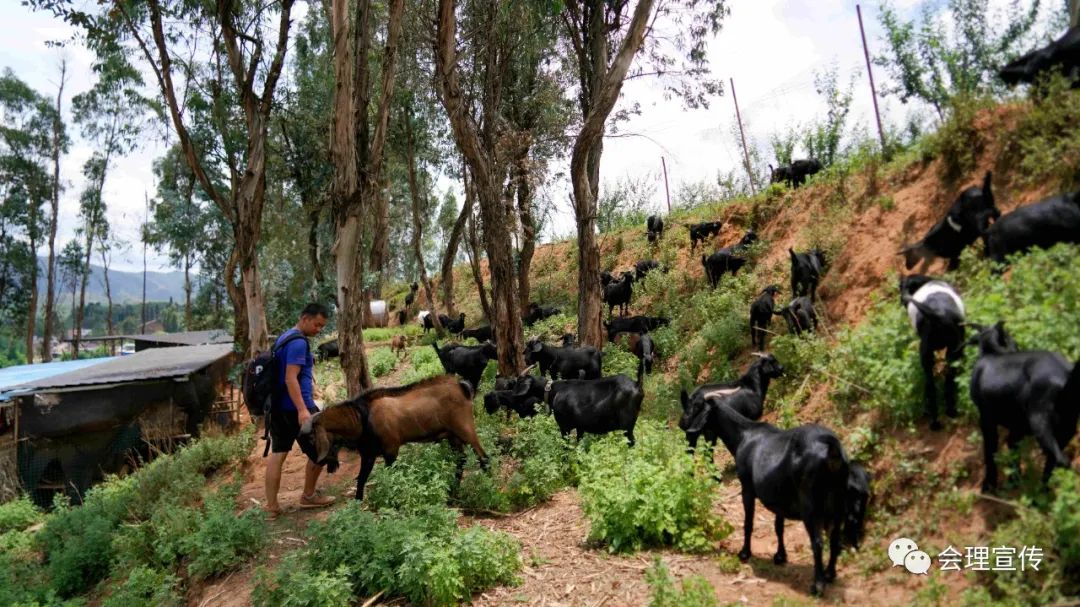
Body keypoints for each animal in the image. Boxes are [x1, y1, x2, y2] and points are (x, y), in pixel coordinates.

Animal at [298, 373, 488, 501]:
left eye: (311, 439)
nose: (319, 462)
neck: (362, 416)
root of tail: (461, 386)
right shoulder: (368, 454)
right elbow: (361, 479)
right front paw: (357, 506)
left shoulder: (391, 450)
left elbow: (391, 476)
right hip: (452, 436)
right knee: (461, 460)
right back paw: (453, 491)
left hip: (464, 427)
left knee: (483, 456)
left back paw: (487, 487)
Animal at [505, 373, 639, 444]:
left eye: (518, 383)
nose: (510, 396)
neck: (554, 391)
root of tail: (637, 385)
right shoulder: (580, 427)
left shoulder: (564, 426)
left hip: (627, 426)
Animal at [898, 274, 967, 429]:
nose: (902, 299)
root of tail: (938, 314)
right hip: (953, 352)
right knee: (949, 382)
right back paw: (951, 411)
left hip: (927, 356)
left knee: (931, 386)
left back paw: (934, 420)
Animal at [972, 321, 1080, 492]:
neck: (992, 352)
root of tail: (1066, 375)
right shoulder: (1017, 426)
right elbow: (1012, 448)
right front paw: (1013, 479)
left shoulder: (986, 418)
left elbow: (990, 451)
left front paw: (989, 485)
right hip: (1066, 427)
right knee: (1054, 461)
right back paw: (1041, 492)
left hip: (1039, 421)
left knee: (1060, 459)